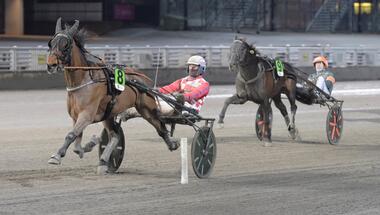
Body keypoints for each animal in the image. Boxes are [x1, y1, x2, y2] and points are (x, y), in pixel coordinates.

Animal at [46, 18, 180, 173]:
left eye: (65, 45)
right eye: (51, 43)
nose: (51, 65)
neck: (83, 81)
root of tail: (142, 78)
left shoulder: (86, 115)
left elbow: (70, 135)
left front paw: (56, 156)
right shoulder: (76, 117)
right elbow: (76, 144)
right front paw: (90, 144)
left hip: (146, 109)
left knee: (160, 127)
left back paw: (172, 143)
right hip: (109, 114)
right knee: (115, 136)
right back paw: (104, 161)